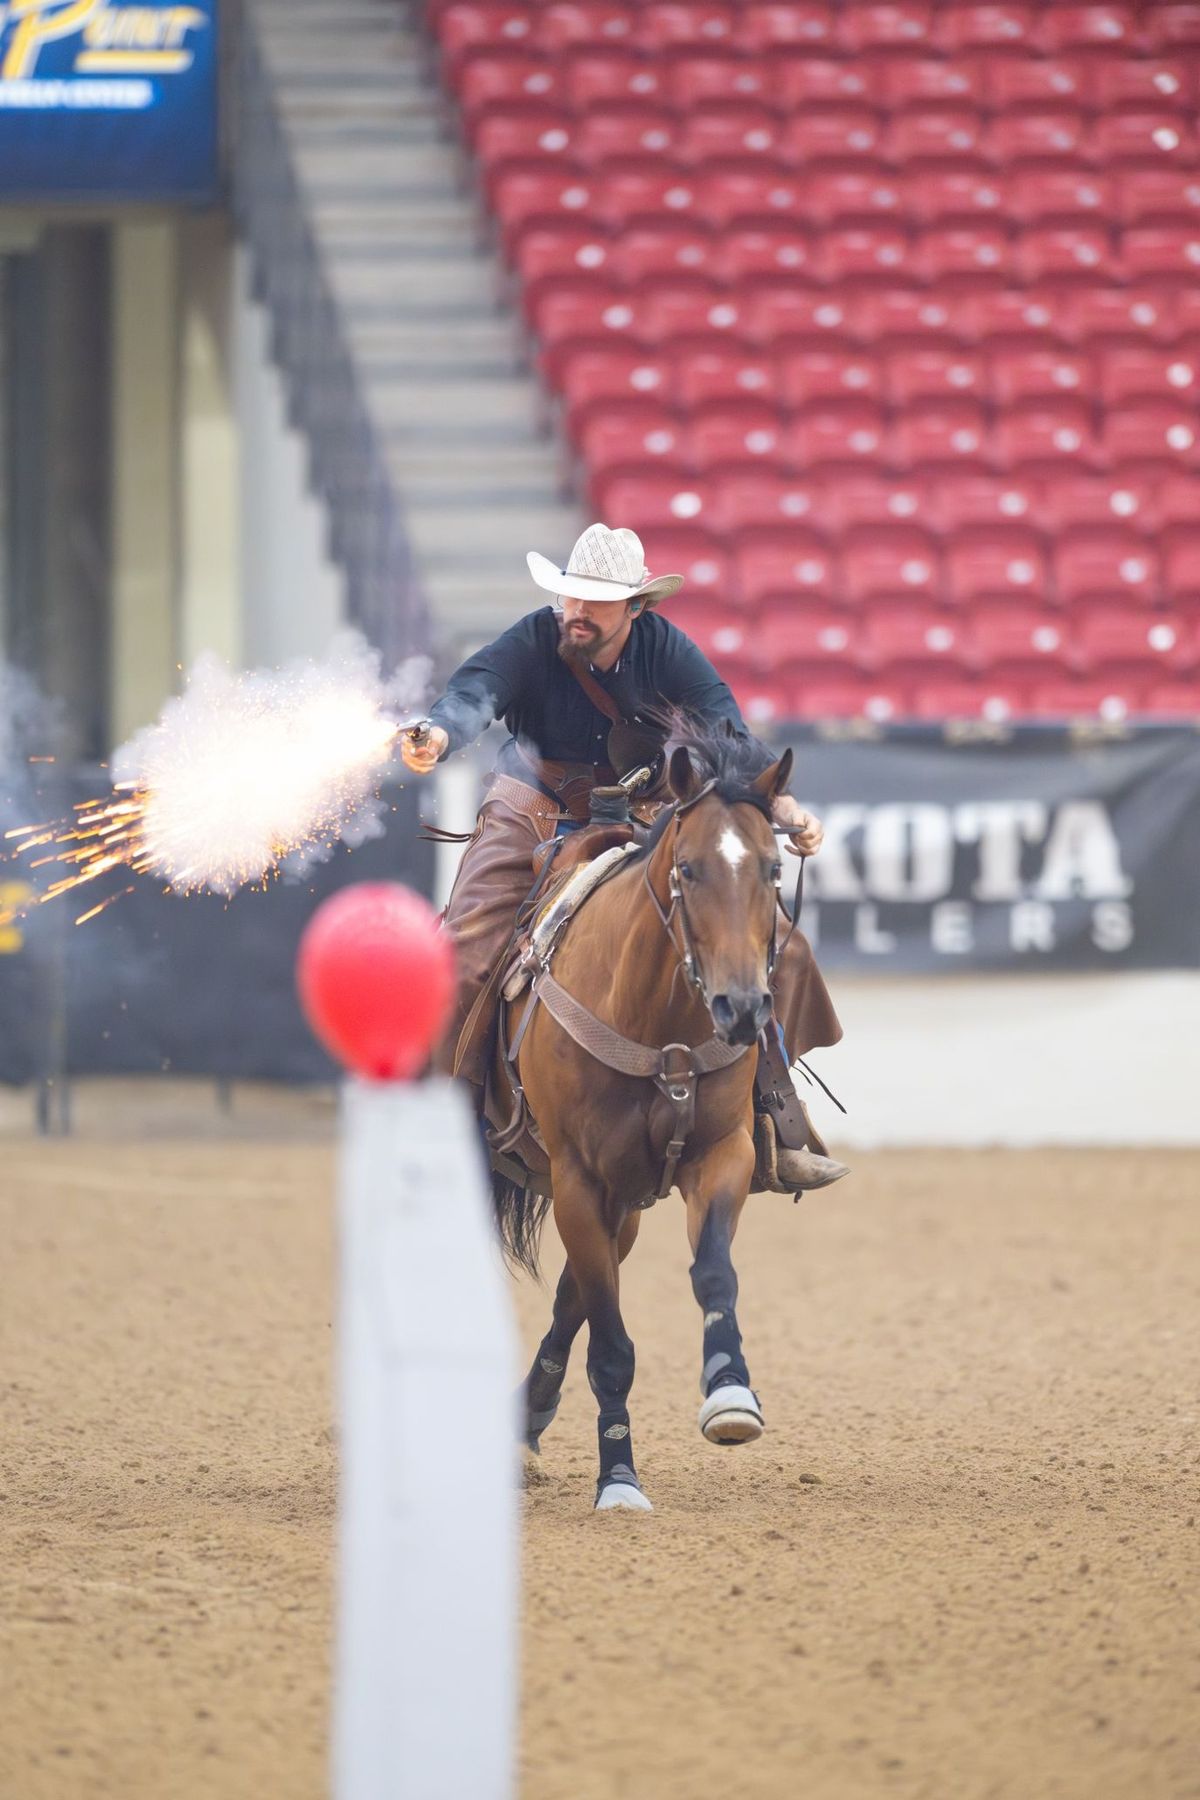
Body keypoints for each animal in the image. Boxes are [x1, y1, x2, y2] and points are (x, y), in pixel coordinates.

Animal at [492, 723, 791, 1512]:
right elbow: (612, 1347)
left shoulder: (721, 1155)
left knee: (572, 1296)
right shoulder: (579, 1181)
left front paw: (731, 1394)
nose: (742, 1008)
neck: (660, 1027)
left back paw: (525, 1423)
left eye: (774, 869)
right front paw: (619, 1481)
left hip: (623, 1204)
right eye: (688, 869)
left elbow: (713, 1274)